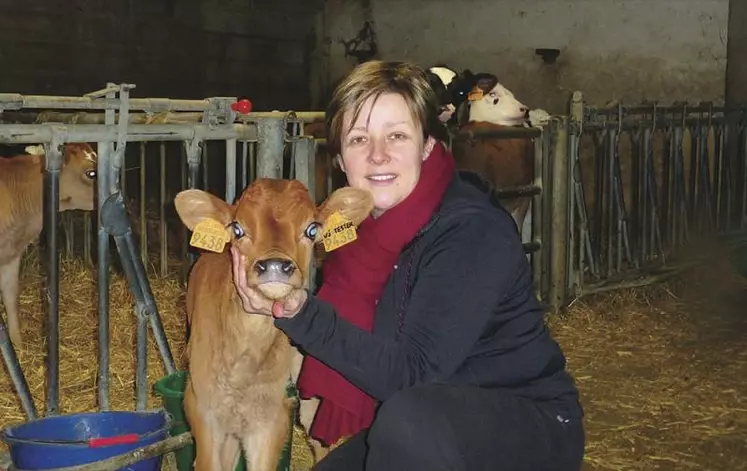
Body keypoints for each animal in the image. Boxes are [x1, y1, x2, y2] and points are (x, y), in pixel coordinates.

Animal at [175, 179, 374, 470]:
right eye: (237, 229)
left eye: (312, 229)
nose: (275, 266)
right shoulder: (202, 410)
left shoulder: (270, 419)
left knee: (318, 439)